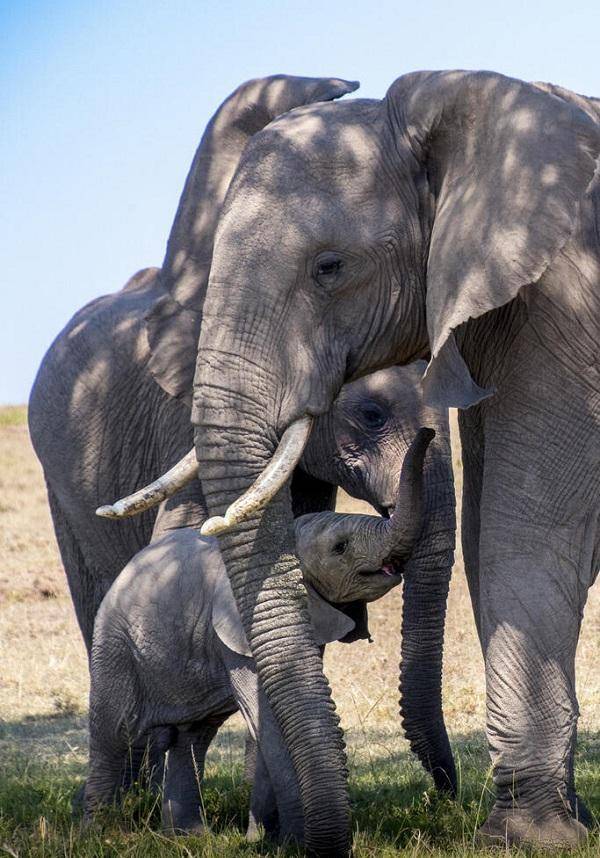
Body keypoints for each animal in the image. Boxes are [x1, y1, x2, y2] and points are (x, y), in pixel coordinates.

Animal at [83, 428, 432, 836]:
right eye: (340, 548)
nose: (428, 432)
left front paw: (264, 838)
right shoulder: (235, 630)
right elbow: (267, 715)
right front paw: (291, 839)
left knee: (193, 738)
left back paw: (188, 835)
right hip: (115, 639)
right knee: (115, 731)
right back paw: (97, 833)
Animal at [190, 68, 600, 848]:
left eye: (329, 268)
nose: (445, 788)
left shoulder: (564, 306)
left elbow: (526, 527)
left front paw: (529, 837)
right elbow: (485, 529)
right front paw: (565, 823)